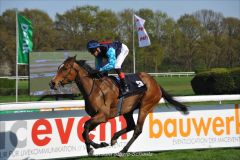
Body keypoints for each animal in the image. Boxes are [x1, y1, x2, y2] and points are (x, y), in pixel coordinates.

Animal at [48, 56, 188, 155]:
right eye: (58, 67)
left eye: (65, 68)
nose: (52, 83)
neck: (94, 89)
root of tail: (156, 83)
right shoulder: (97, 117)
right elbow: (84, 132)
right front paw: (96, 146)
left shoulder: (103, 116)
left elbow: (86, 126)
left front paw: (94, 147)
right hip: (127, 110)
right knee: (131, 125)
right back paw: (114, 138)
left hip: (145, 106)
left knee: (137, 129)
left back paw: (123, 150)